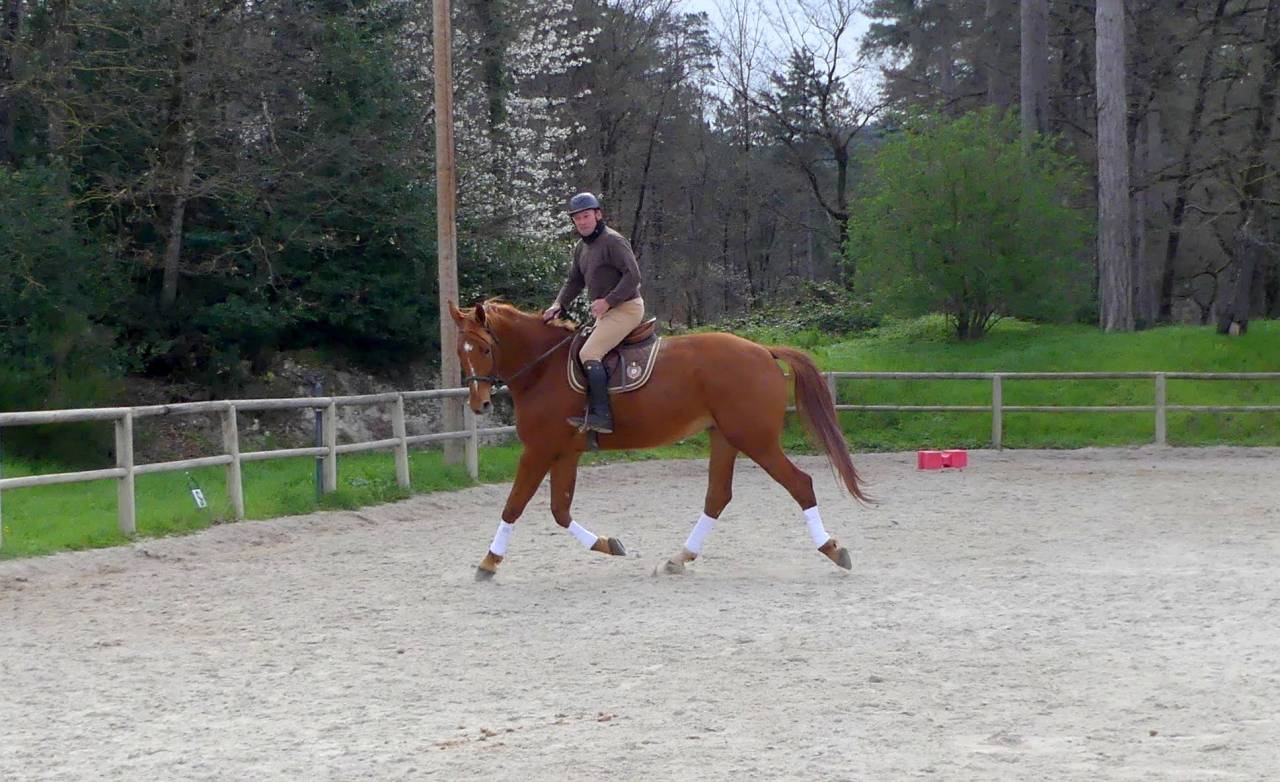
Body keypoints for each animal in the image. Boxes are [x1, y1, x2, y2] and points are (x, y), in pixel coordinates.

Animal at [447, 300, 868, 580]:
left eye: (484, 348)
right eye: (460, 352)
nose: (480, 404)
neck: (543, 368)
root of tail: (763, 350)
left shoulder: (538, 451)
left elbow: (513, 505)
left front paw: (488, 562)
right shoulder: (565, 453)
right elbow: (559, 511)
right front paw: (608, 544)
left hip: (756, 441)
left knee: (800, 484)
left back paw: (833, 549)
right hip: (725, 439)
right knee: (717, 497)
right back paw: (679, 558)